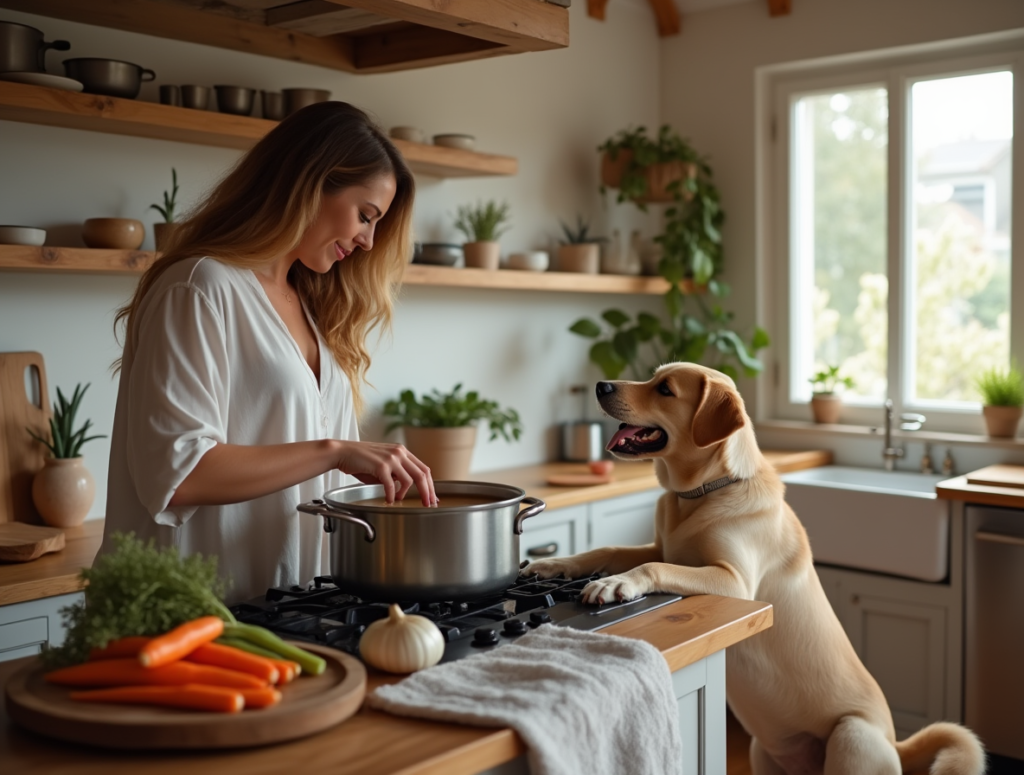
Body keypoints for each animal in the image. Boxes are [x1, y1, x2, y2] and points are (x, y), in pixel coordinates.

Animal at [528, 362, 983, 773]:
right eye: (652, 377)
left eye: (665, 390)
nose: (600, 386)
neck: (699, 493)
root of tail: (895, 743)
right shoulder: (657, 544)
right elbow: (606, 548)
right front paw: (553, 565)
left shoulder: (733, 579)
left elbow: (653, 567)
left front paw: (614, 585)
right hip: (761, 753)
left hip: (851, 737)